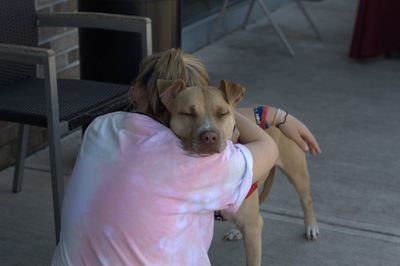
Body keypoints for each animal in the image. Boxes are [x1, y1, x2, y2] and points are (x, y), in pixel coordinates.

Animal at [158, 79, 318, 266]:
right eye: (187, 113)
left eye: (223, 113)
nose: (209, 137)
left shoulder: (252, 228)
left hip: (297, 174)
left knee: (306, 199)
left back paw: (311, 226)